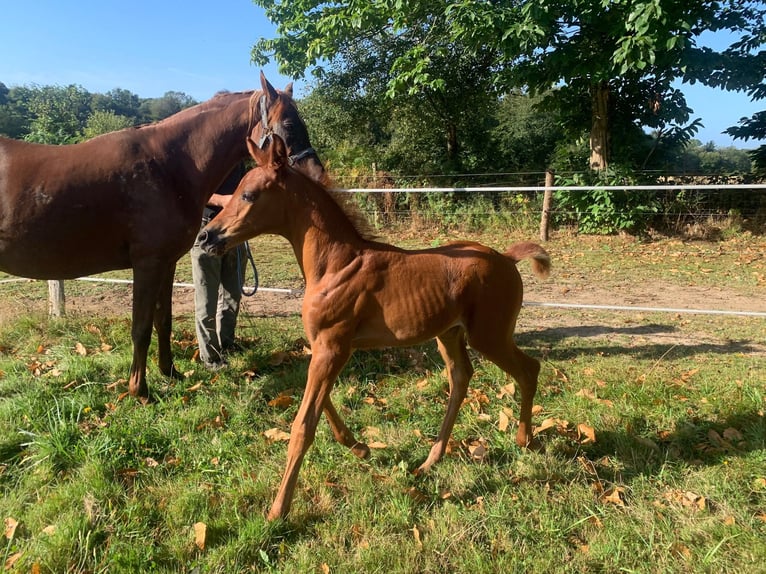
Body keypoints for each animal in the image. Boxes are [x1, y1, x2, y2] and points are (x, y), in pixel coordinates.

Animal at [0, 72, 324, 401]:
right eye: (288, 125)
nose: (317, 176)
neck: (168, 166)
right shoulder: (148, 264)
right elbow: (141, 328)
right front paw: (139, 390)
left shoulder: (166, 264)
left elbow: (163, 321)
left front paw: (170, 372)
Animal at [198, 135, 552, 520]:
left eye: (248, 195)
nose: (206, 236)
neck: (336, 265)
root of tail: (506, 258)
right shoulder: (325, 348)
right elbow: (321, 405)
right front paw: (360, 448)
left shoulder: (333, 347)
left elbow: (303, 425)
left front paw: (278, 510)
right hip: (449, 334)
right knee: (461, 378)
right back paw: (430, 461)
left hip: (489, 334)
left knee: (528, 369)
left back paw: (525, 440)